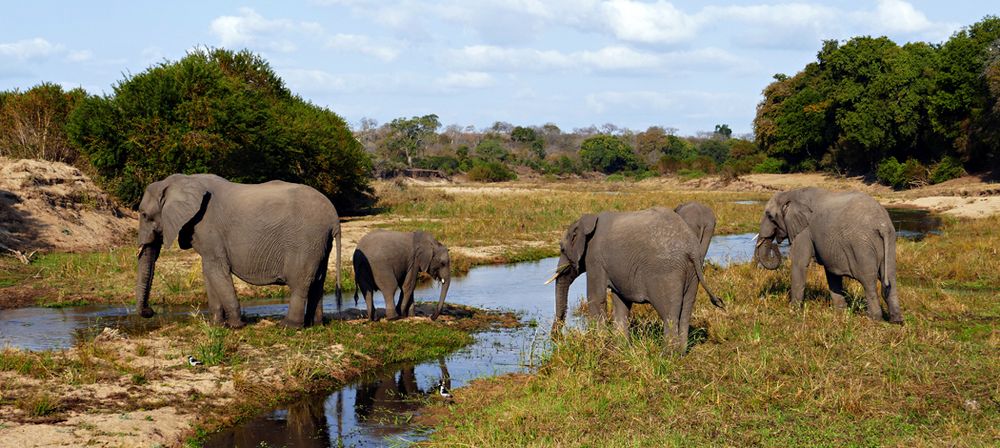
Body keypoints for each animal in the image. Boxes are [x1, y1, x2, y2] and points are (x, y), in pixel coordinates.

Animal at [135, 173, 342, 328]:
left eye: (144, 215)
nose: (149, 311)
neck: (179, 182)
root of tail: (334, 217)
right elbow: (208, 272)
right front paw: (216, 325)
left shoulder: (208, 227)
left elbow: (216, 270)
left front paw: (235, 326)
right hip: (319, 242)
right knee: (318, 281)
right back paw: (315, 324)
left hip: (305, 240)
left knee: (300, 282)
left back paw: (288, 326)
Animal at [548, 207, 728, 354]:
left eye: (562, 249)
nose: (555, 338)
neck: (588, 220)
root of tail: (691, 247)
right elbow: (620, 300)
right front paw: (621, 348)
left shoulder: (595, 259)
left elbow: (596, 298)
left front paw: (599, 346)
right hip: (691, 273)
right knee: (685, 311)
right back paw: (681, 353)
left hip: (666, 272)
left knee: (668, 314)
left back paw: (667, 356)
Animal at [752, 186, 904, 322]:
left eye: (769, 216)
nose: (774, 244)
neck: (791, 193)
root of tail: (882, 224)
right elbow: (832, 272)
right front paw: (841, 313)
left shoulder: (804, 230)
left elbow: (799, 263)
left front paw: (792, 312)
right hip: (890, 240)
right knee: (890, 277)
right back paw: (896, 320)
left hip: (862, 245)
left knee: (868, 281)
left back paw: (874, 319)